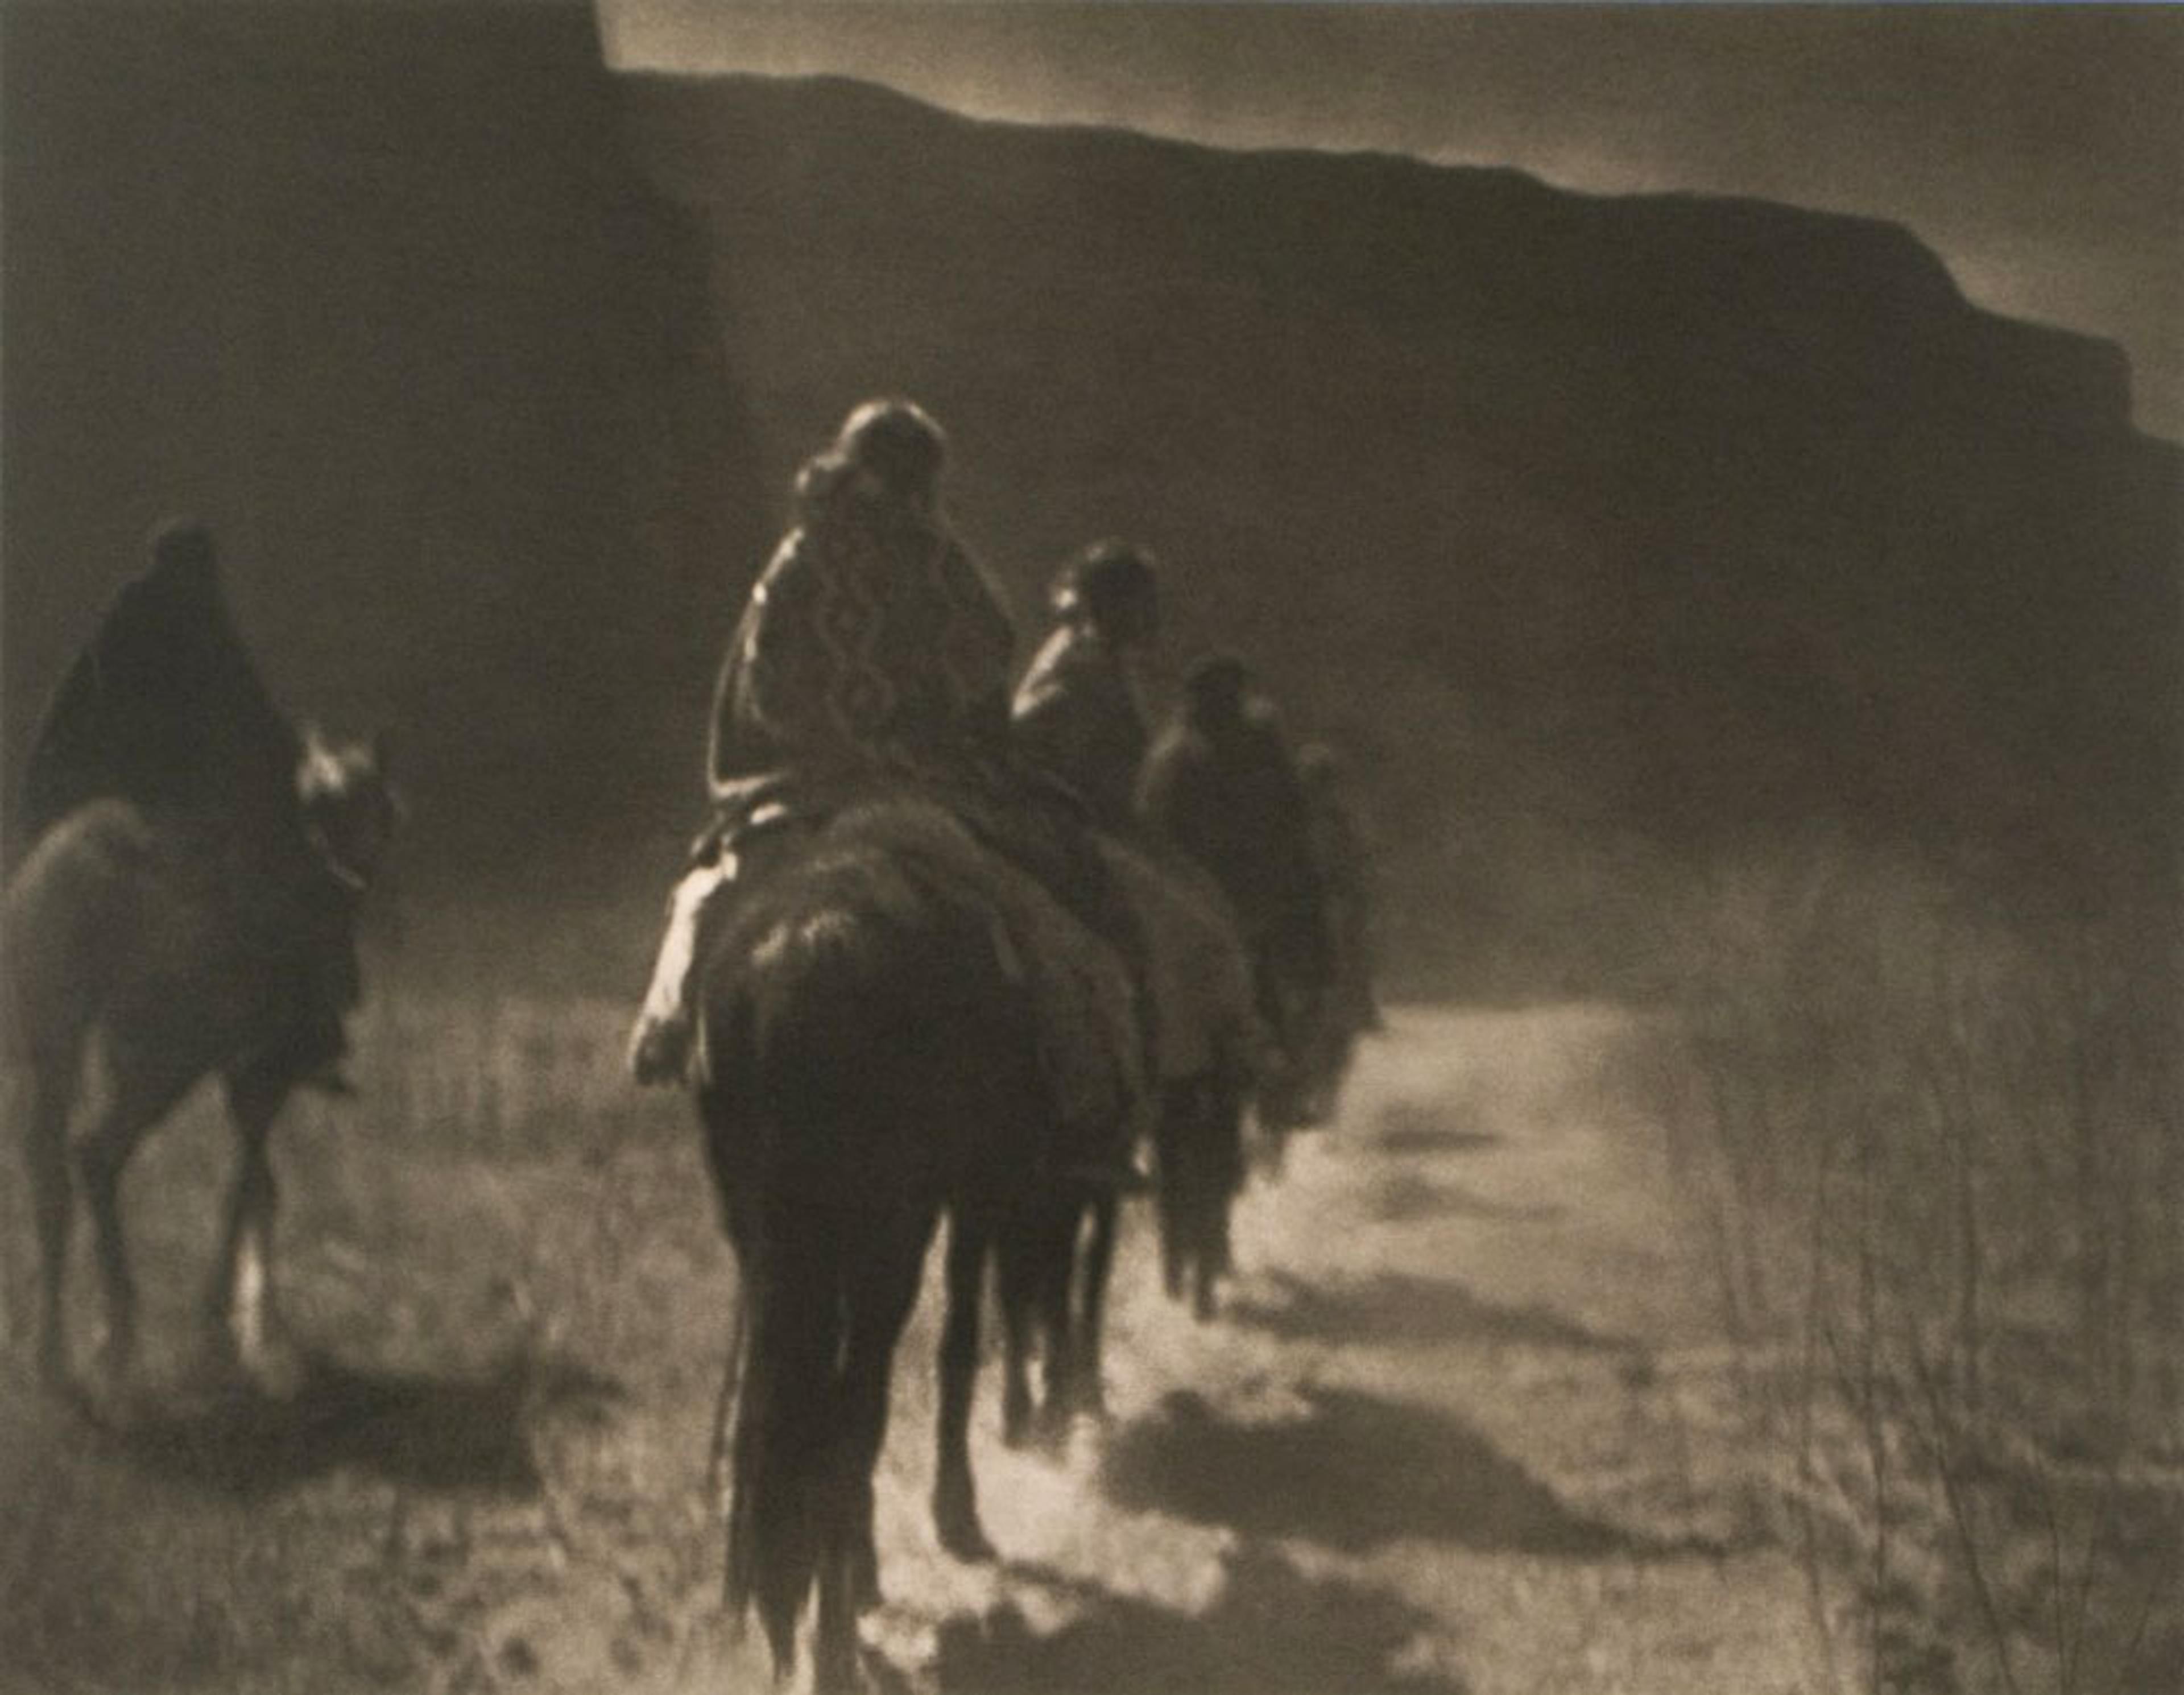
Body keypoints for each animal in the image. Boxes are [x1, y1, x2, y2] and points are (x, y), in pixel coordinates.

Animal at [694, 799, 1144, 1695]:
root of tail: (803, 955)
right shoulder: (977, 1196)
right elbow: (963, 1341)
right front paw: (957, 1510)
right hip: (888, 1241)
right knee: (851, 1411)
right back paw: (835, 1639)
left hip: (774, 1245)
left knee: (785, 1416)